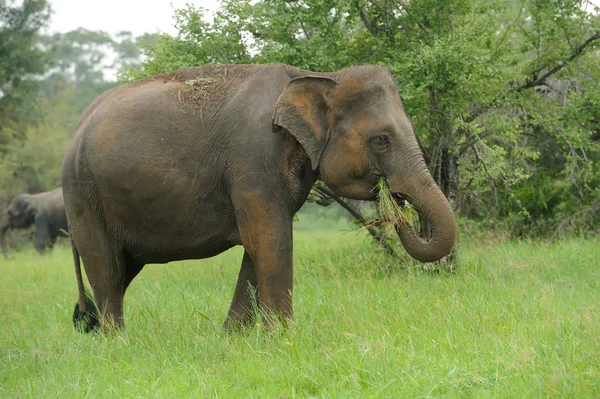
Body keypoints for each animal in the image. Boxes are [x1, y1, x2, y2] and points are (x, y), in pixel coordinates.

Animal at [59, 63, 454, 334]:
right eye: (382, 140)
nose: (397, 200)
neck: (317, 77)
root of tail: (76, 127)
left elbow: (257, 246)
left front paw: (232, 340)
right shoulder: (253, 158)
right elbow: (270, 239)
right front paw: (284, 341)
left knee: (121, 272)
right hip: (83, 197)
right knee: (108, 270)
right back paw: (117, 344)